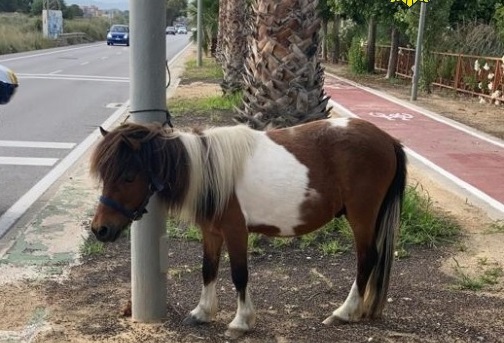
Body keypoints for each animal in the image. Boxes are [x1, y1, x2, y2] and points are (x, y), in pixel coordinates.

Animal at [89, 117, 406, 338]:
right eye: (104, 175)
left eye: (128, 177)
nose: (100, 230)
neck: (210, 171)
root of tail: (388, 139)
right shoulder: (211, 232)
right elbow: (208, 270)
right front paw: (203, 312)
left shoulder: (235, 232)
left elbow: (239, 275)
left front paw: (241, 321)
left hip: (361, 216)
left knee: (366, 259)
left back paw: (344, 312)